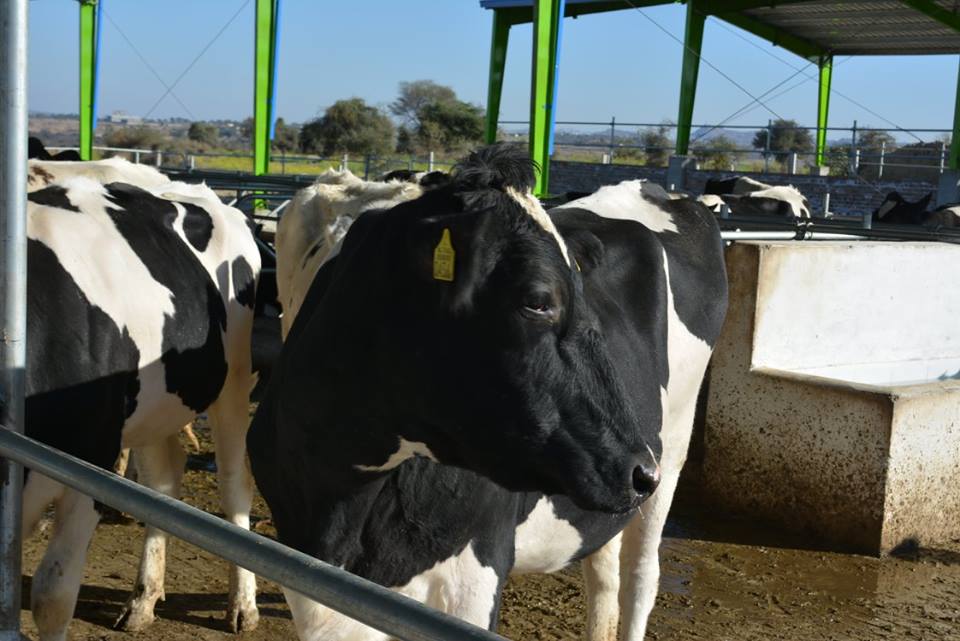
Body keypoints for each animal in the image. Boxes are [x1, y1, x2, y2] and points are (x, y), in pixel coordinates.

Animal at [22, 172, 260, 636]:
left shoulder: (92, 460)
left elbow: (52, 598)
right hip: (151, 406)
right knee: (162, 482)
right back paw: (143, 598)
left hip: (234, 380)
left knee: (233, 483)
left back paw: (242, 604)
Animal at [248, 145, 728, 640]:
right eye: (538, 301)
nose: (639, 472)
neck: (342, 505)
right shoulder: (310, 578)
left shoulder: (473, 576)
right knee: (604, 570)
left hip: (674, 448)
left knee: (640, 576)